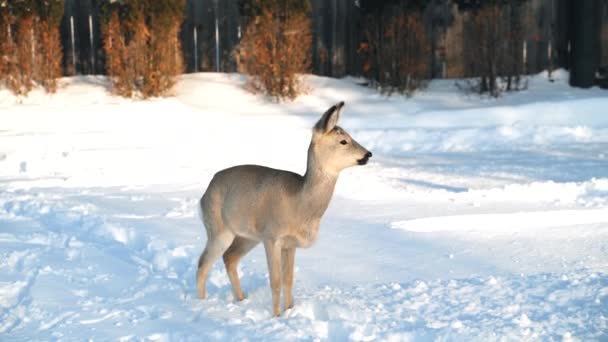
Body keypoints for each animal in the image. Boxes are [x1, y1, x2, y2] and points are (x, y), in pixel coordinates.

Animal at [197, 101, 372, 316]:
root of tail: (205, 193)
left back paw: (241, 299)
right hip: (219, 228)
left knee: (229, 258)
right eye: (343, 141)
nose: (368, 154)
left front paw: (290, 310)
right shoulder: (272, 237)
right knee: (203, 263)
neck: (300, 204)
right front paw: (276, 316)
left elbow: (288, 280)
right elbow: (276, 282)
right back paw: (200, 303)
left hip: (248, 236)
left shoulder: (290, 244)